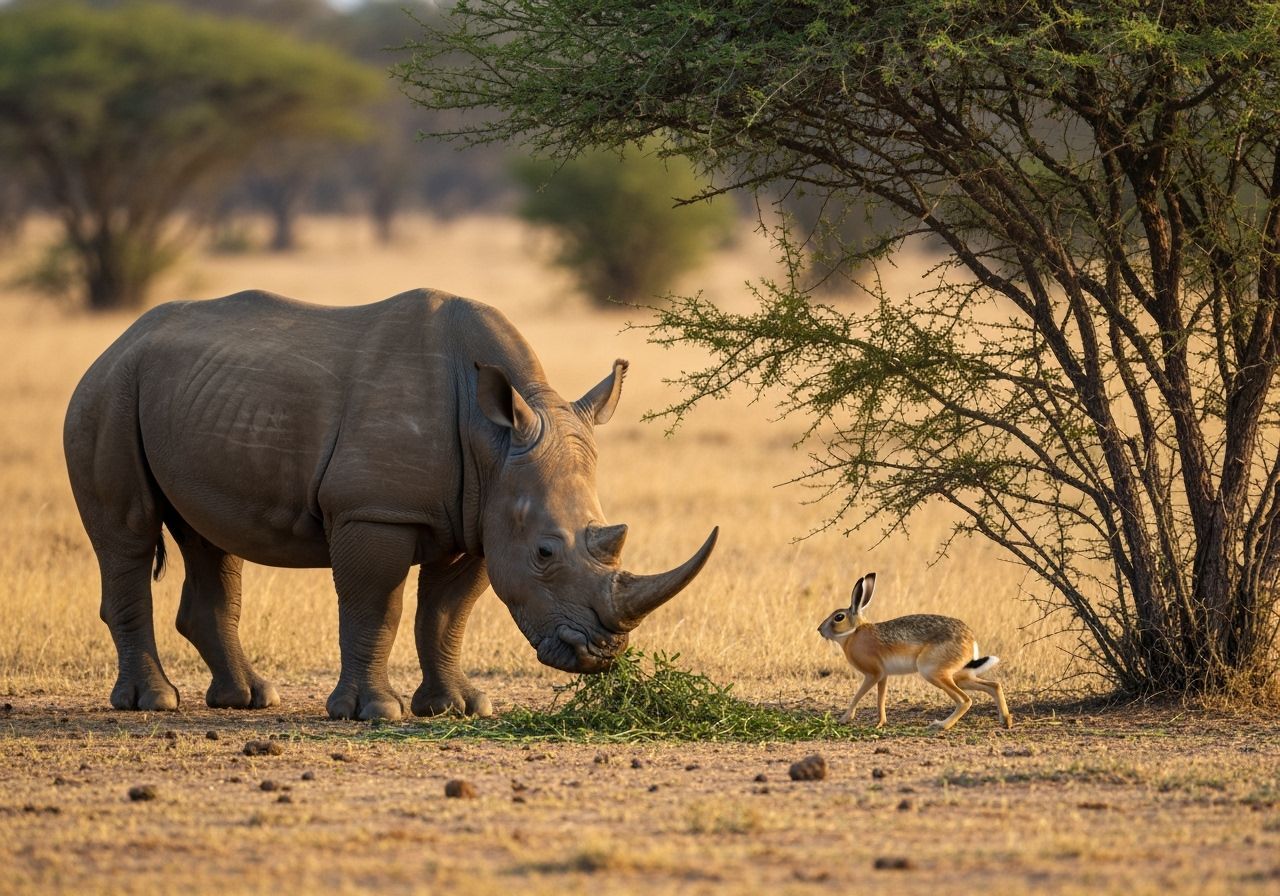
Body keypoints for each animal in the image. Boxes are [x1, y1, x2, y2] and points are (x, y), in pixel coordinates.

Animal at [63, 288, 718, 721]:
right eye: (544, 553)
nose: (602, 655)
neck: (493, 437)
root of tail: (118, 340)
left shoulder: (481, 516)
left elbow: (447, 613)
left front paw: (458, 707)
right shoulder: (373, 510)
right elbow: (377, 606)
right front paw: (375, 712)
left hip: (185, 395)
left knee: (210, 541)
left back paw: (247, 699)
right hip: (108, 391)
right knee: (127, 535)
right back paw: (152, 702)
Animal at [817, 572, 1013, 731]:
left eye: (839, 617)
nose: (820, 630)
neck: (854, 633)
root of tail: (971, 640)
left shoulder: (873, 674)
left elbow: (858, 695)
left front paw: (844, 719)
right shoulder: (883, 676)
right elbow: (881, 699)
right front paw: (880, 723)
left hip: (931, 671)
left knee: (965, 700)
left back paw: (941, 725)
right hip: (959, 675)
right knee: (994, 685)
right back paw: (1006, 721)